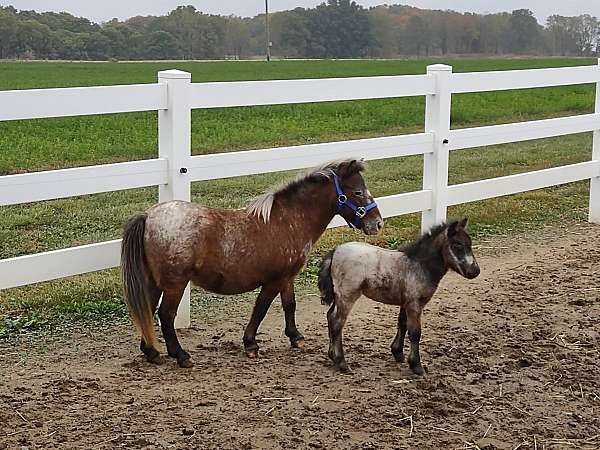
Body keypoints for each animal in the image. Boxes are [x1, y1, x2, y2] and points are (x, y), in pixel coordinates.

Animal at [122, 158, 384, 366]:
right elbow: (261, 308)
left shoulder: (287, 277)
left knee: (148, 310)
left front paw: (295, 337)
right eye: (358, 192)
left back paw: (151, 352)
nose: (378, 223)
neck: (289, 220)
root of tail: (148, 216)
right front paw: (250, 344)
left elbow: (290, 305)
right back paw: (180, 355)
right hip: (175, 284)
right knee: (166, 315)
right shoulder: (274, 280)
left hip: (155, 282)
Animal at [318, 218, 478, 372]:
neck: (420, 265)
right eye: (458, 245)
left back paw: (332, 355)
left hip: (338, 296)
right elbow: (415, 332)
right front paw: (416, 366)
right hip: (347, 296)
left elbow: (402, 324)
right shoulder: (415, 304)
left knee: (330, 316)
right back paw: (342, 363)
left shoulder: (405, 302)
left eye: (470, 244)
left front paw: (398, 353)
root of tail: (336, 251)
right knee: (337, 322)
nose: (475, 271)